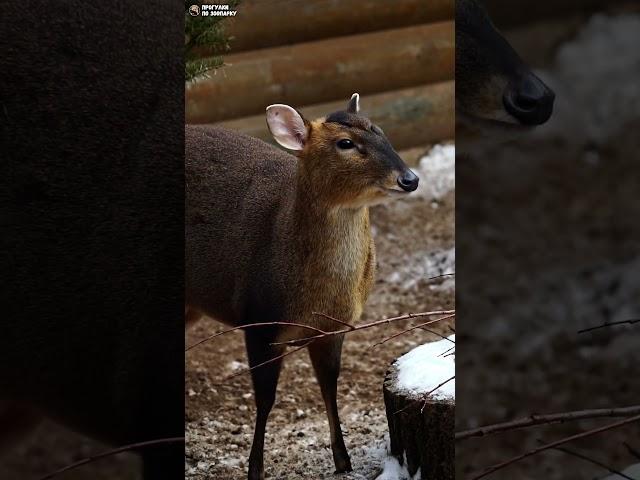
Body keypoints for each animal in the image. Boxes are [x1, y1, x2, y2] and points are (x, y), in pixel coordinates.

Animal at [184, 94, 420, 480]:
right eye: (345, 143)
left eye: (380, 131)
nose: (410, 178)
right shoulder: (259, 320)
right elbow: (265, 399)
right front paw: (255, 469)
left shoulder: (333, 328)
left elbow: (329, 387)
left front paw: (343, 460)